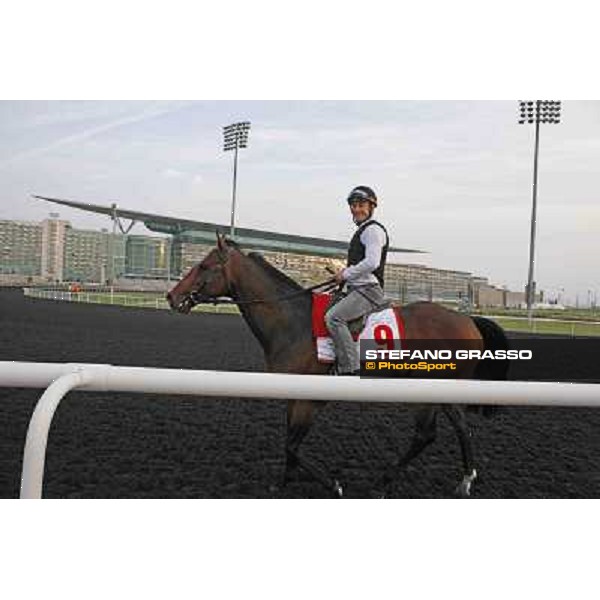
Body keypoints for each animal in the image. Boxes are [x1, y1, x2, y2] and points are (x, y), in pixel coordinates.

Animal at [166, 233, 508, 496]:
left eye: (203, 266)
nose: (171, 296)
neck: (294, 322)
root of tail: (467, 319)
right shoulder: (293, 395)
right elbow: (288, 443)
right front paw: (284, 483)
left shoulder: (312, 400)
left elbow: (293, 446)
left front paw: (333, 485)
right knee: (452, 428)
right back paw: (456, 480)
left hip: (430, 388)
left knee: (430, 433)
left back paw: (394, 483)